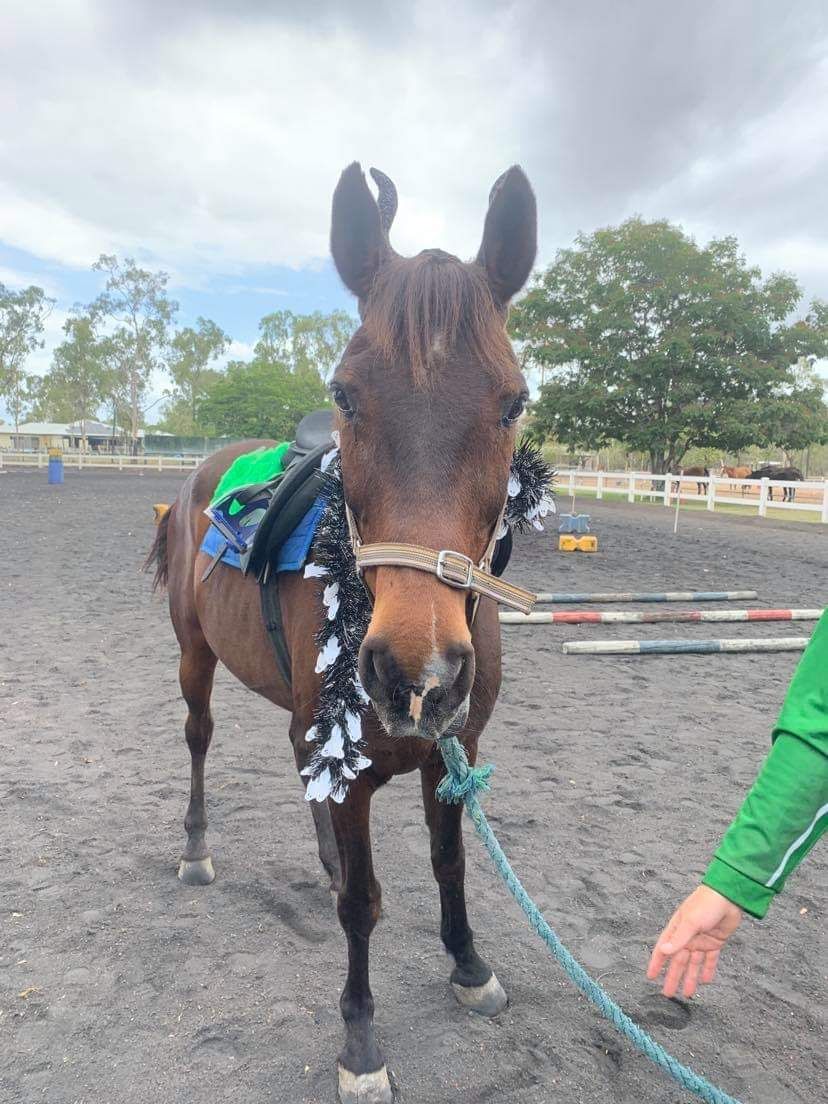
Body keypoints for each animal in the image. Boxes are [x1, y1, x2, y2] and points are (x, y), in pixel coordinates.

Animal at [145, 163, 538, 1103]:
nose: (414, 674)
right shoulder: (358, 761)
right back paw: (197, 849)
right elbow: (364, 901)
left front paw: (469, 966)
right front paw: (361, 1042)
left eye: (514, 401)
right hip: (194, 658)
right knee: (200, 737)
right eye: (344, 395)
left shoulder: (452, 748)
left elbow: (448, 865)